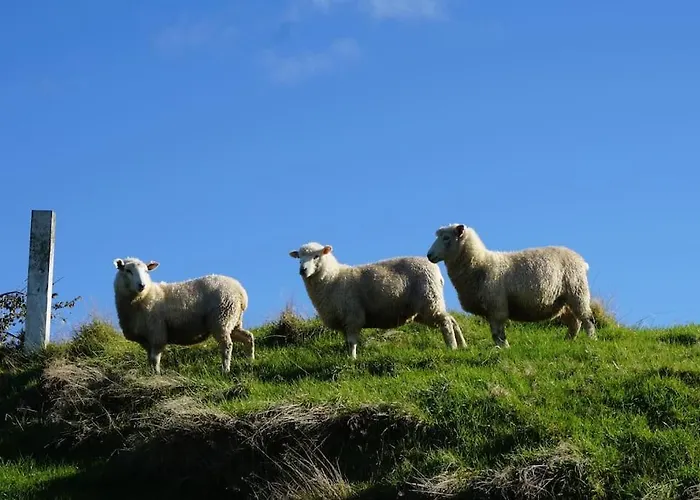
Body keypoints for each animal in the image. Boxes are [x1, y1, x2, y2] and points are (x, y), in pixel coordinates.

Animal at [112, 257, 254, 375]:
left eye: (147, 271)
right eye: (127, 270)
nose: (142, 285)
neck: (144, 297)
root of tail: (241, 292)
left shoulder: (157, 333)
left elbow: (155, 358)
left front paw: (157, 374)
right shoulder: (146, 339)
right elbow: (149, 359)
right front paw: (151, 374)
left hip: (221, 318)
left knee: (227, 345)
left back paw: (225, 370)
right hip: (233, 320)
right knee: (248, 337)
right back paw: (250, 360)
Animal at [288, 242, 467, 359]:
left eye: (316, 256)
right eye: (299, 258)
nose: (302, 270)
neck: (333, 277)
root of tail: (437, 272)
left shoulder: (353, 316)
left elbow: (351, 342)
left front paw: (352, 360)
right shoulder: (344, 321)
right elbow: (347, 342)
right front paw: (348, 357)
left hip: (429, 299)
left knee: (445, 322)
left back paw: (452, 347)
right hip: (426, 307)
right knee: (451, 319)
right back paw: (462, 345)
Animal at [426, 223, 596, 347]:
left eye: (446, 238)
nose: (429, 255)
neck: (479, 263)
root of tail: (581, 261)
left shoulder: (497, 306)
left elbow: (498, 332)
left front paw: (503, 347)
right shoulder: (491, 309)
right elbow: (494, 332)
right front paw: (500, 347)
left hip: (577, 291)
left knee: (586, 318)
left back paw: (591, 339)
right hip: (562, 301)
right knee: (574, 321)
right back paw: (568, 341)